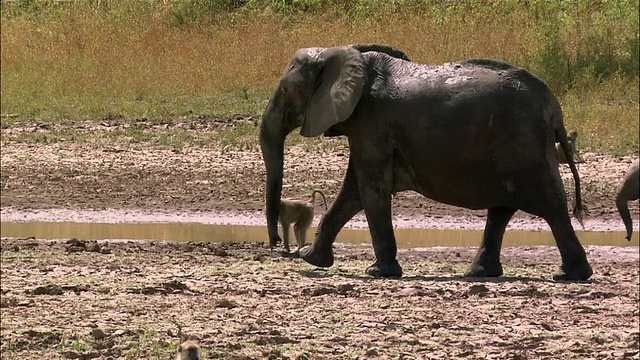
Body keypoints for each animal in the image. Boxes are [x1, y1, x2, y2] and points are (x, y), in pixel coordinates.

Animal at [258, 44, 592, 282]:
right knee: (502, 208)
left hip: (524, 144)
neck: (342, 52)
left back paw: (569, 276)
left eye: (286, 90)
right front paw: (312, 259)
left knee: (550, 205)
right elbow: (354, 190)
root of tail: (554, 108)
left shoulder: (372, 123)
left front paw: (378, 273)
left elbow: (370, 187)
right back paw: (480, 274)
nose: (274, 243)